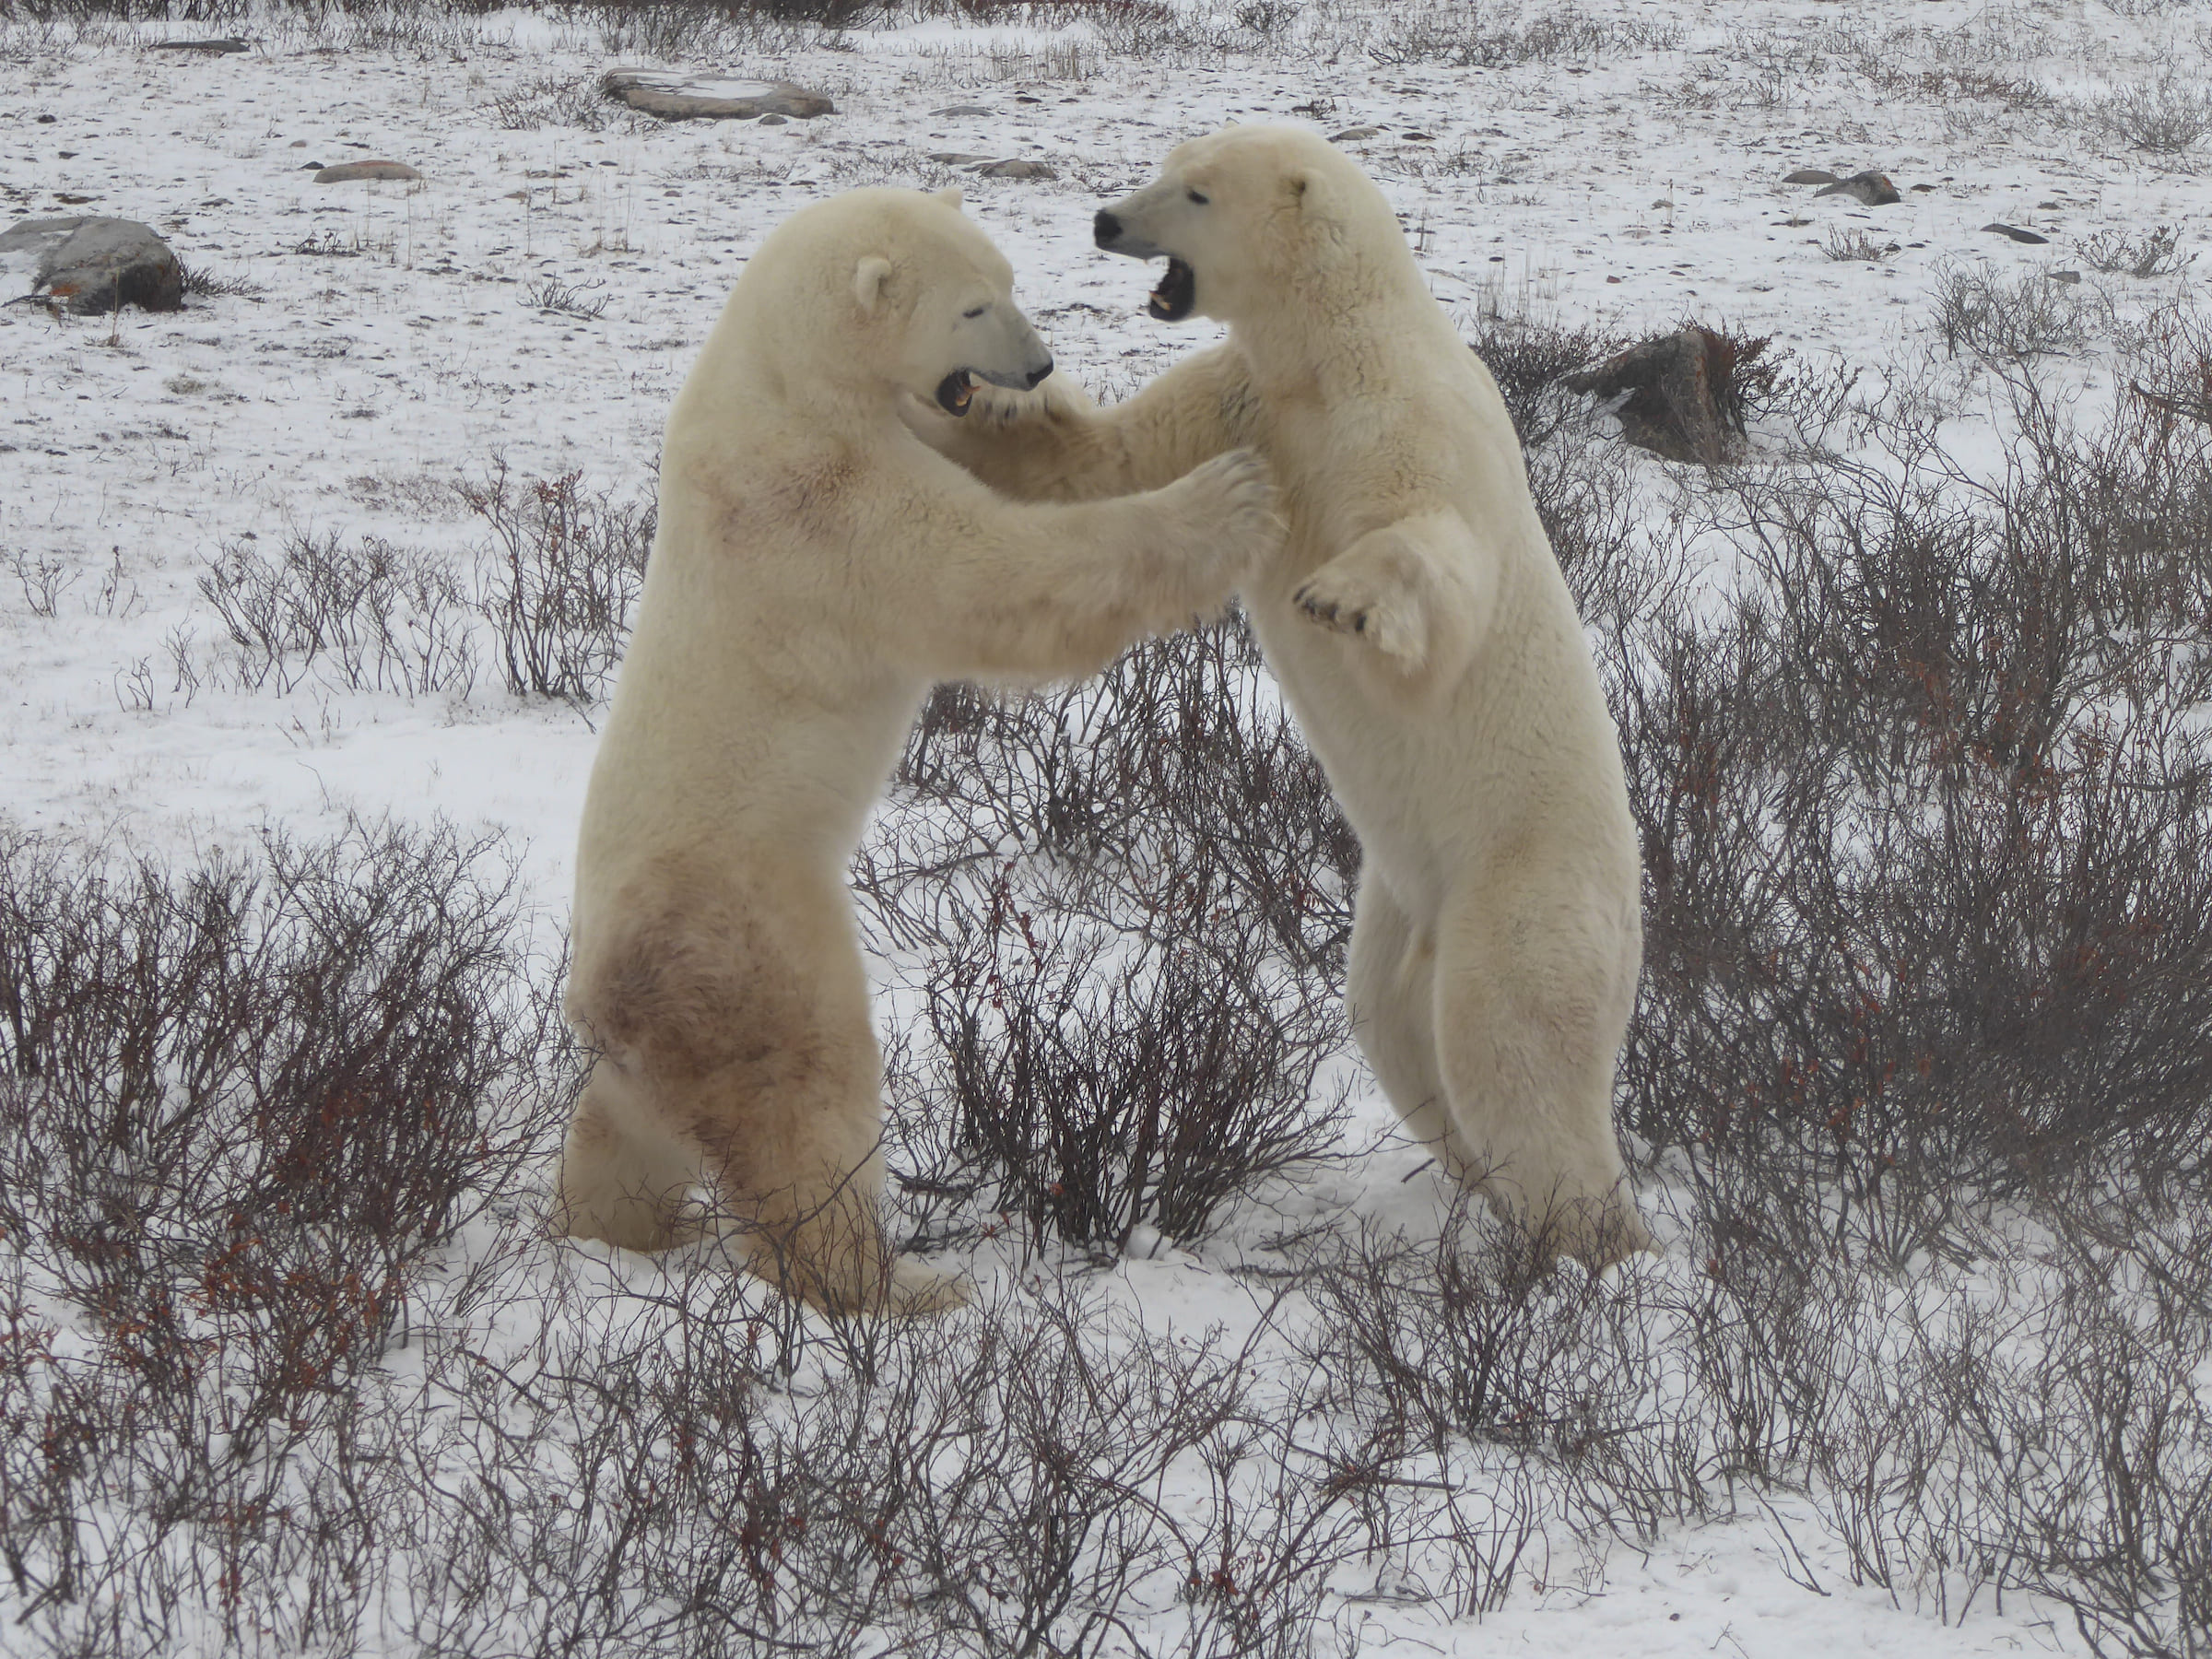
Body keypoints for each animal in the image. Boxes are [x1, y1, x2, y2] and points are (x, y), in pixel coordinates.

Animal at [556, 185, 1282, 1314]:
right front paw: (1224, 494)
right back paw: (895, 1283)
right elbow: (993, 576)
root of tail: (611, 1007)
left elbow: (1050, 476)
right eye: (974, 306)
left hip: (644, 1047)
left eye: (1011, 283)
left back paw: (614, 1229)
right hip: (748, 938)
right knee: (802, 1105)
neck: (779, 381)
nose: (1034, 365)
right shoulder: (820, 509)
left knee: (622, 1136)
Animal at [907, 128, 1652, 1271]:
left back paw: (1592, 1239)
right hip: (1400, 905)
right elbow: (1104, 461)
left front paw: (1340, 597)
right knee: (1399, 1034)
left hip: (1527, 889)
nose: (1105, 220)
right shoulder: (1246, 395)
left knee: (1512, 1047)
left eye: (1196, 193)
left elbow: (1442, 563)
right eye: (1165, 166)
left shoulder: (1406, 420)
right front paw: (985, 404)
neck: (1328, 352)